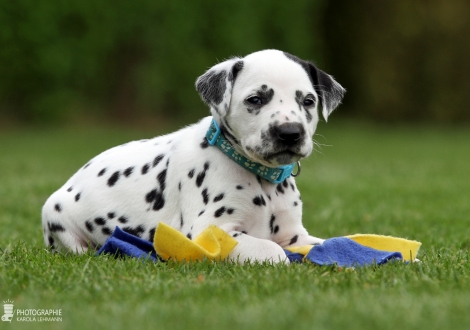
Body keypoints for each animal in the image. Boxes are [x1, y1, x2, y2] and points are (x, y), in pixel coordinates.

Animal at [41, 49, 346, 264]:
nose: (290, 132)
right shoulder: (211, 232)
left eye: (308, 101)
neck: (260, 177)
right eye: (255, 99)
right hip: (56, 214)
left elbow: (324, 243)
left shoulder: (295, 234)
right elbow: (270, 250)